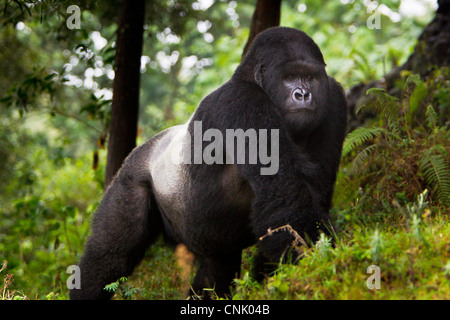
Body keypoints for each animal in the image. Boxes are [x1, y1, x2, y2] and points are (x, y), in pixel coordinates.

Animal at [68, 27, 346, 300]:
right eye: (289, 77)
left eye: (309, 77)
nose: (303, 94)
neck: (250, 79)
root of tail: (141, 150)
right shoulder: (242, 102)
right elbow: (284, 191)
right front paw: (315, 266)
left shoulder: (333, 98)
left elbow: (312, 193)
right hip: (130, 179)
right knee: (109, 256)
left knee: (217, 266)